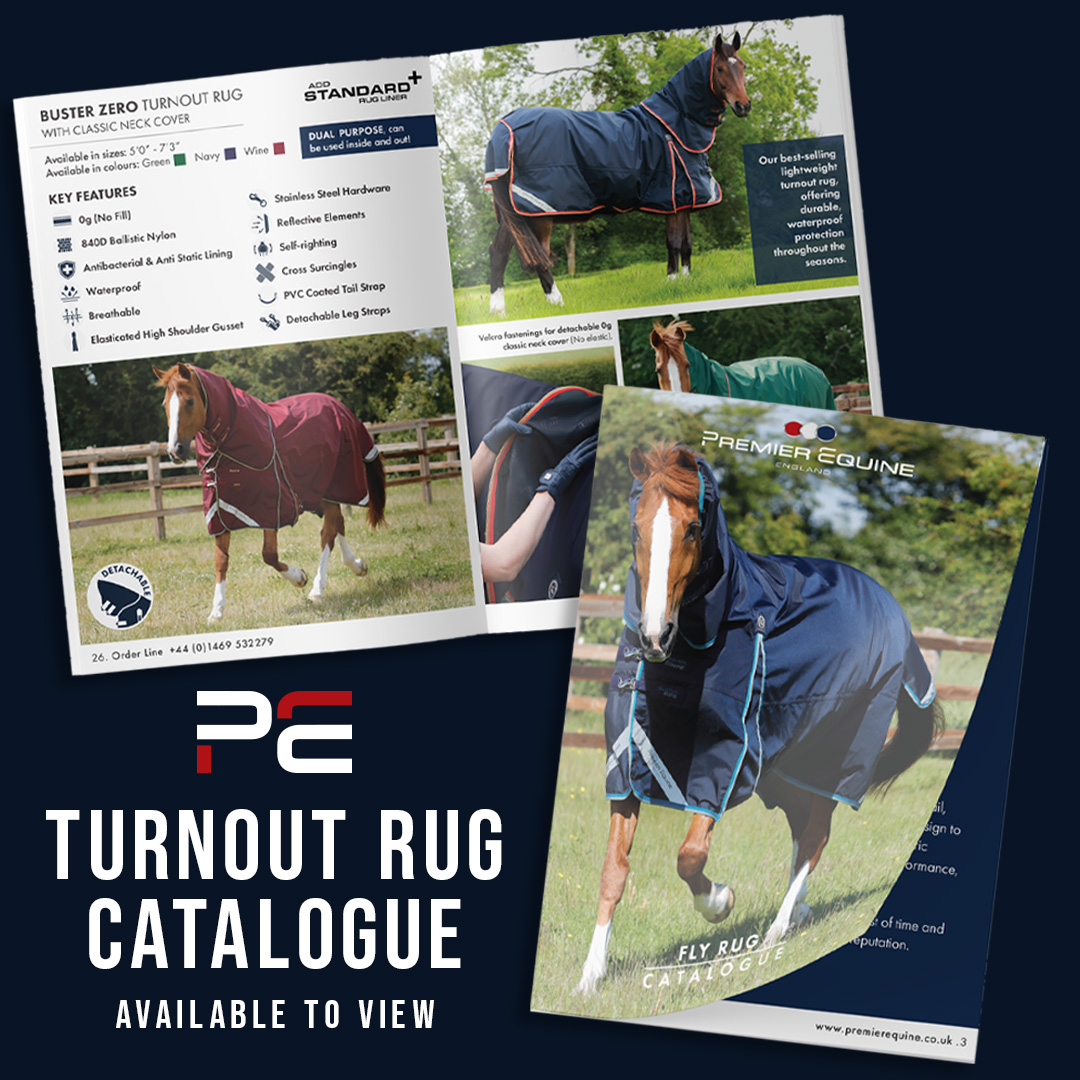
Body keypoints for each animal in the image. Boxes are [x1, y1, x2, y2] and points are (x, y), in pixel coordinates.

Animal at [153, 362, 386, 624]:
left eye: (190, 401)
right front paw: (216, 611)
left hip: (333, 487)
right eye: (165, 404)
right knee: (338, 524)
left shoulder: (271, 506)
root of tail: (339, 407)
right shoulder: (219, 511)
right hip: (319, 494)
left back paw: (317, 589)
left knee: (328, 532)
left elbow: (269, 555)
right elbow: (221, 560)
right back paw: (357, 565)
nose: (175, 451)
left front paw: (299, 577)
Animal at [483, 33, 750, 315]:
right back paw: (558, 303)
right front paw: (672, 282)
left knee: (498, 252)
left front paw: (686, 283)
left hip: (513, 212)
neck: (675, 126)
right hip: (540, 213)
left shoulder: (685, 198)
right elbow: (674, 242)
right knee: (540, 256)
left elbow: (687, 243)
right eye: (719, 68)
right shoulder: (673, 198)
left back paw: (498, 310)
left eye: (742, 65)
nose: (744, 106)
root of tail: (503, 129)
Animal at [576, 443, 941, 995]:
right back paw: (800, 912)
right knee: (801, 826)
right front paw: (590, 976)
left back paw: (775, 932)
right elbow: (612, 871)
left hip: (835, 753)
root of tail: (890, 606)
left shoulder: (723, 763)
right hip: (784, 768)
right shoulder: (626, 766)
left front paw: (720, 902)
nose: (654, 636)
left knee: (815, 835)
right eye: (636, 528)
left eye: (692, 528)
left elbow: (689, 856)